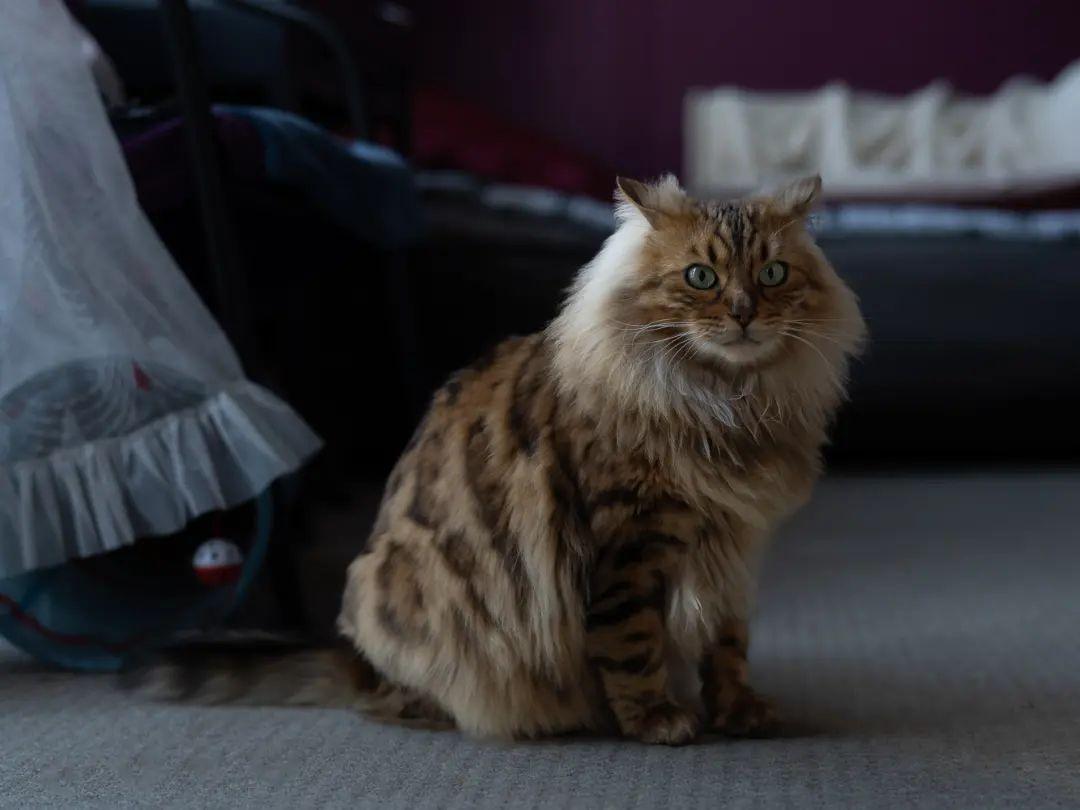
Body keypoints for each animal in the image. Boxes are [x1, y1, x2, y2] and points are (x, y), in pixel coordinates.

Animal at [130, 174, 864, 747]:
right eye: (701, 277)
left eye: (772, 274)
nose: (743, 314)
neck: (728, 409)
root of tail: (361, 659)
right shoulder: (628, 541)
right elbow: (633, 644)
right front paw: (656, 719)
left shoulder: (735, 549)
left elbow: (727, 645)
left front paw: (738, 709)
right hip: (410, 589)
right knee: (401, 701)